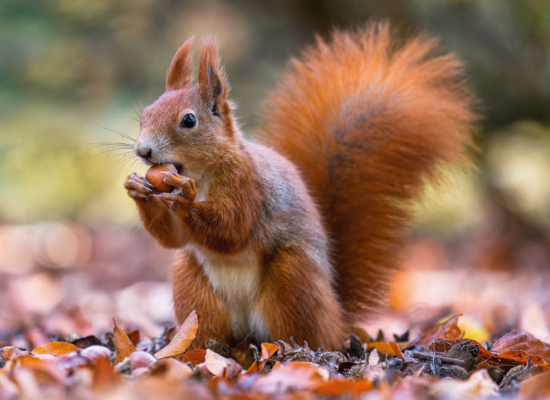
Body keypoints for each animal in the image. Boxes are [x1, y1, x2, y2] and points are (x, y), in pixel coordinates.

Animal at [123, 24, 476, 350]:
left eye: (189, 121)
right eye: (146, 114)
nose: (143, 151)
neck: (201, 174)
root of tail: (338, 317)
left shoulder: (248, 185)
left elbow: (232, 229)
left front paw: (184, 198)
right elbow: (174, 238)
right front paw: (137, 190)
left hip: (293, 277)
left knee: (307, 331)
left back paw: (294, 348)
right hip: (193, 285)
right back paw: (204, 347)